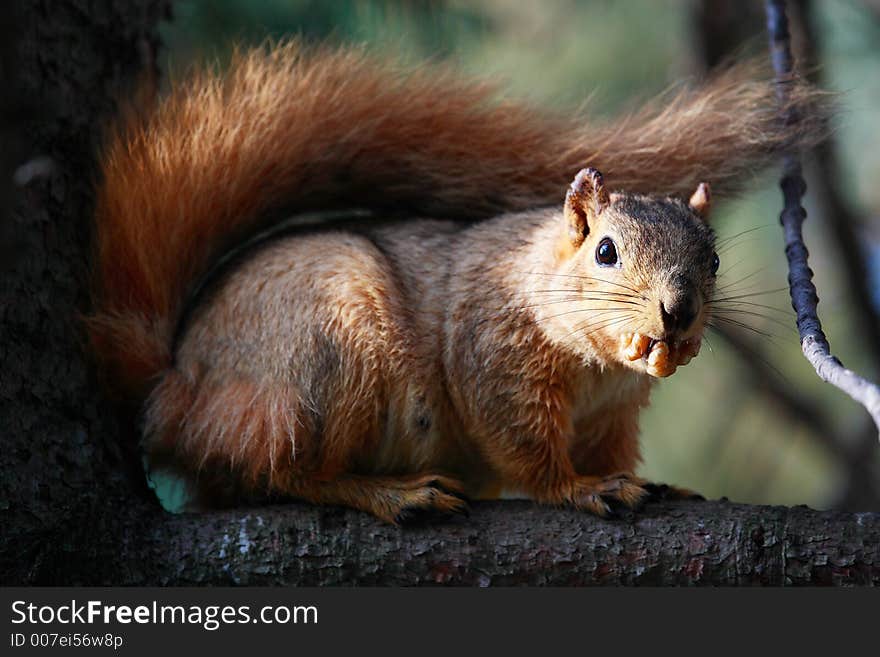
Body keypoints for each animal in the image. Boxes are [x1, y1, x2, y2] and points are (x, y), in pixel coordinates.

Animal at [86, 43, 828, 524]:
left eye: (716, 261)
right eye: (606, 251)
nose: (678, 312)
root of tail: (176, 383)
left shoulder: (612, 417)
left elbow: (614, 450)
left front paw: (652, 478)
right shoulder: (495, 355)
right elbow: (523, 444)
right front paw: (580, 489)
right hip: (325, 358)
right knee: (285, 471)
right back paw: (390, 494)